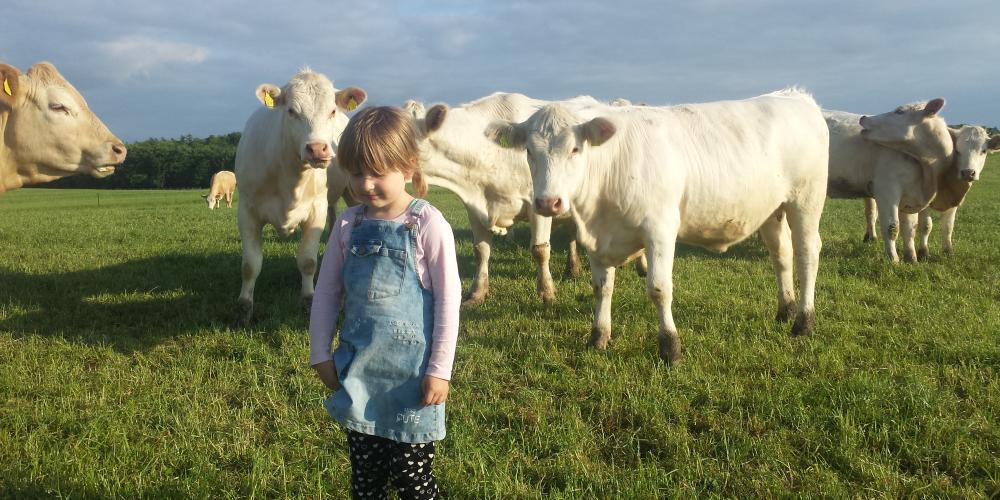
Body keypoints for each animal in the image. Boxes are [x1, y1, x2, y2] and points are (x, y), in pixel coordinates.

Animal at [235, 68, 368, 322]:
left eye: (332, 110)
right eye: (291, 111)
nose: (317, 149)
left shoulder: (316, 209)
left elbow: (307, 261)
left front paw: (308, 301)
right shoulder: (246, 210)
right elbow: (250, 265)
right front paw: (244, 308)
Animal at [486, 89, 828, 364]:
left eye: (575, 149)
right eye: (529, 151)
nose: (548, 203)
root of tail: (793, 95)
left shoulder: (660, 230)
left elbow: (659, 289)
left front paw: (670, 347)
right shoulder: (597, 238)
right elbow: (601, 287)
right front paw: (598, 337)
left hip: (806, 200)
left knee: (807, 254)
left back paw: (804, 322)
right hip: (772, 209)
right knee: (781, 255)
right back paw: (785, 310)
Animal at [820, 98, 952, 262]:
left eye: (899, 111)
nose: (864, 118)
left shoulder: (910, 195)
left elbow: (910, 228)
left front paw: (912, 258)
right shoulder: (887, 189)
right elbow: (892, 227)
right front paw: (893, 259)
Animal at [860, 122, 1000, 262]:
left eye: (983, 151)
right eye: (957, 151)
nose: (968, 172)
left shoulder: (953, 200)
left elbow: (948, 226)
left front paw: (948, 251)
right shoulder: (924, 200)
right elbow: (926, 225)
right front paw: (923, 252)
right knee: (871, 213)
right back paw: (871, 237)